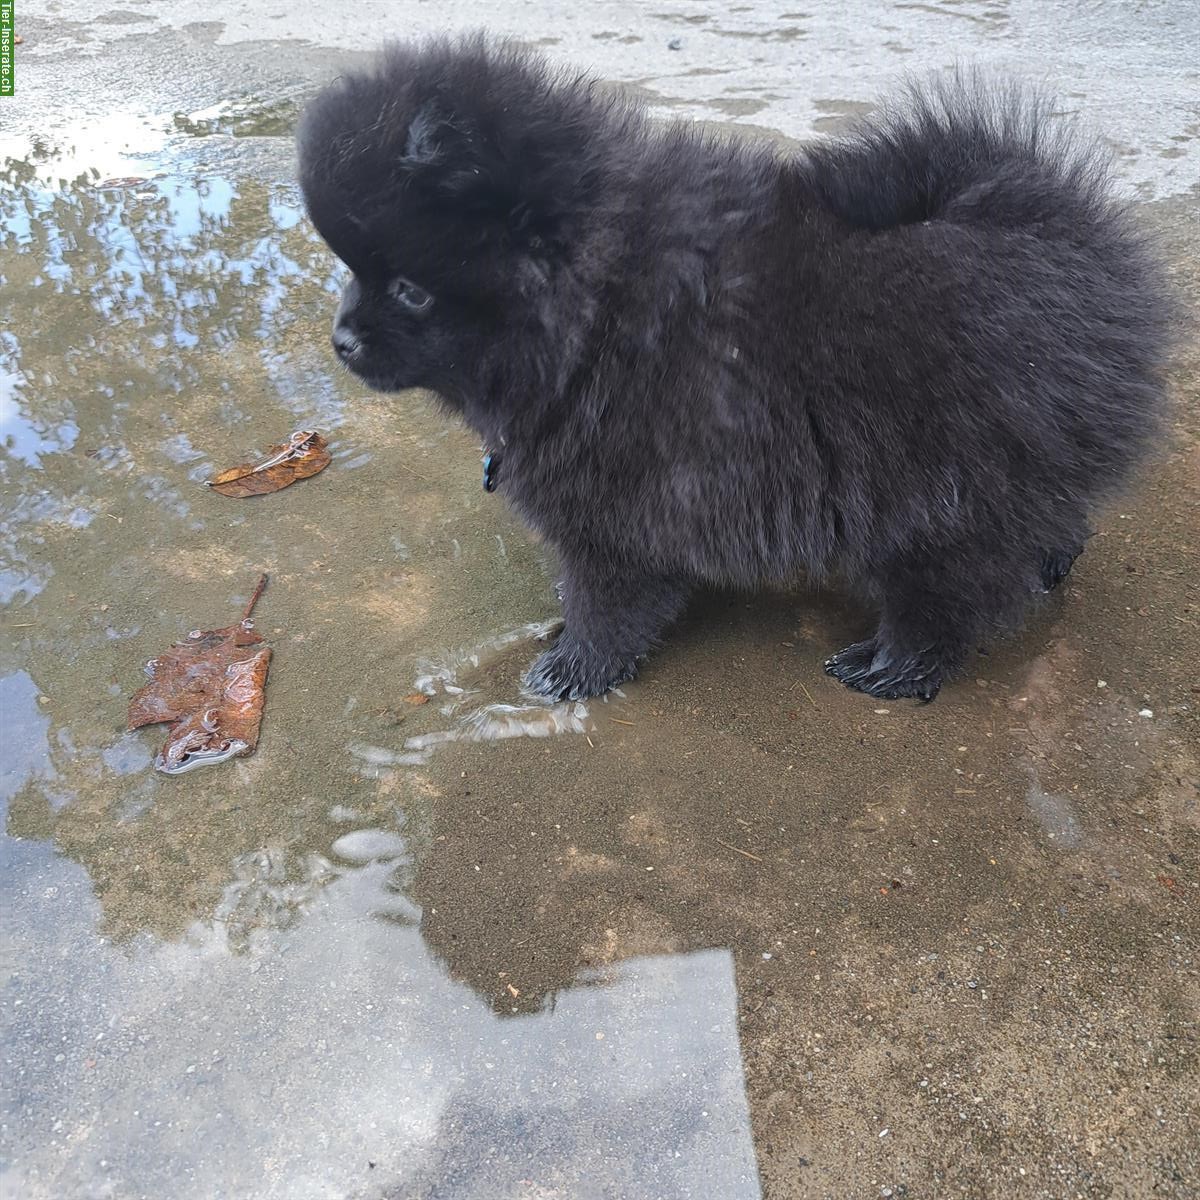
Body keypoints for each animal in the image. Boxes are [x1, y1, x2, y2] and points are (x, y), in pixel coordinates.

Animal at [300, 37, 1171, 700]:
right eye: (351, 270)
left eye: (410, 290)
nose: (341, 339)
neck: (597, 306)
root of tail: (1060, 226)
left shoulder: (610, 503)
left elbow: (608, 601)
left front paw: (573, 669)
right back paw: (1050, 562)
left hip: (951, 486)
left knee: (949, 594)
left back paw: (892, 666)